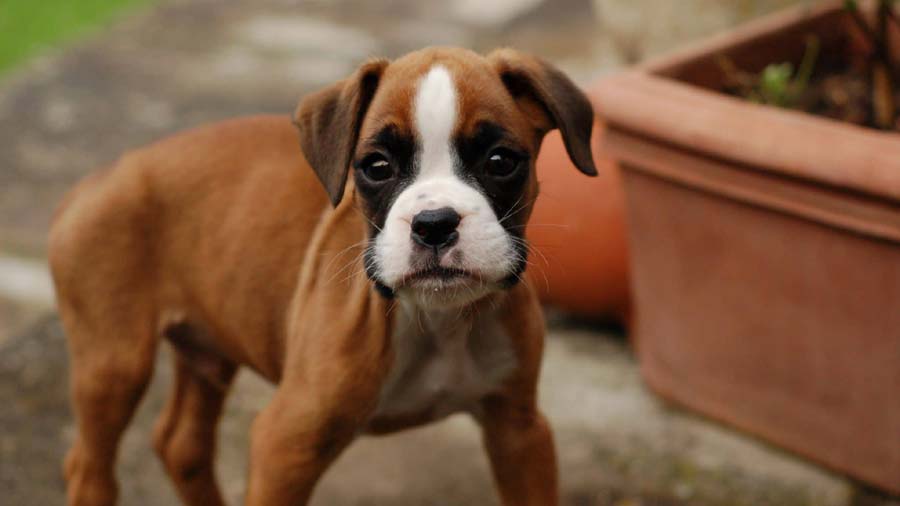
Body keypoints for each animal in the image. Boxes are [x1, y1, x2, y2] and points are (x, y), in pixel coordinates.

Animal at [49, 45, 596, 504]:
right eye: (376, 166)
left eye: (501, 161)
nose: (435, 223)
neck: (436, 322)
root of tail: (95, 180)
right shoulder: (286, 444)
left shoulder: (519, 431)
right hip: (114, 366)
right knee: (89, 468)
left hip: (208, 350)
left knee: (182, 445)